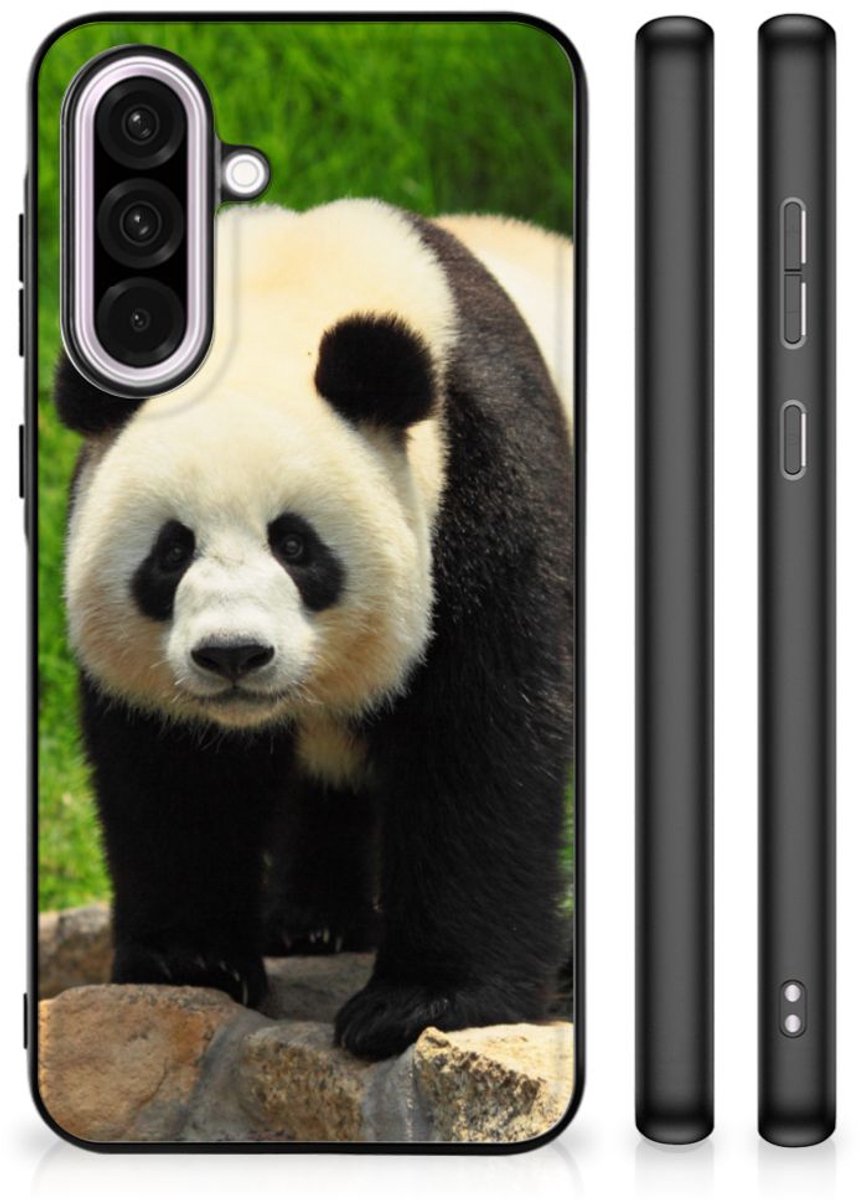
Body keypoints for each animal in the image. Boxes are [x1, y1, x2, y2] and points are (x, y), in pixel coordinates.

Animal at [55, 199, 575, 1060]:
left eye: (295, 545)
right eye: (171, 551)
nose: (233, 655)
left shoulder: (485, 479)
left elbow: (482, 738)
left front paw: (420, 1003)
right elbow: (175, 769)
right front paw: (190, 960)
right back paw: (311, 922)